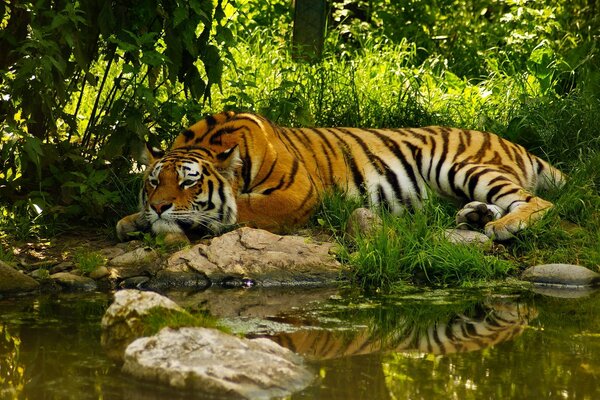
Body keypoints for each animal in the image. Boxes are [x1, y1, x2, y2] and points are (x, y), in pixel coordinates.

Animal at [115, 110, 564, 241]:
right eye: (153, 181)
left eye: (189, 181)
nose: (159, 206)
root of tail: (514, 143)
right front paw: (132, 220)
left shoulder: (297, 194)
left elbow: (240, 208)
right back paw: (476, 216)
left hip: (459, 164)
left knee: (537, 201)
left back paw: (503, 226)